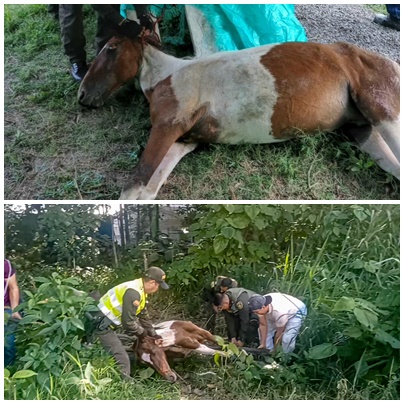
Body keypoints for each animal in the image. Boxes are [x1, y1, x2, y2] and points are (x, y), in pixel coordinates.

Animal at [77, 35, 400, 200]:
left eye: (110, 48)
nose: (82, 95)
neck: (166, 76)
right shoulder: (182, 141)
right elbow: (146, 191)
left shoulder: (167, 128)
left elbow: (135, 185)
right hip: (365, 132)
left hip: (384, 113)